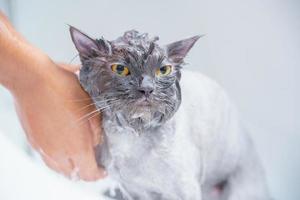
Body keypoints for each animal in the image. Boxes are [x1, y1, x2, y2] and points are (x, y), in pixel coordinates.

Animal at [69, 27, 270, 200]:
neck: (132, 137)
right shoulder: (134, 192)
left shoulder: (185, 191)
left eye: (163, 70)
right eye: (120, 69)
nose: (147, 89)